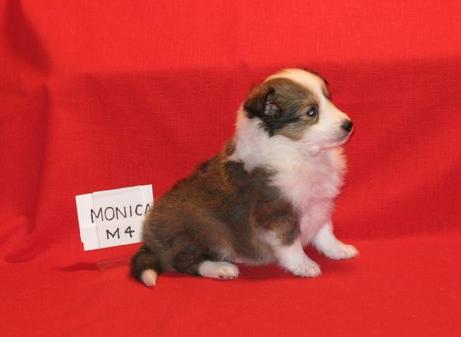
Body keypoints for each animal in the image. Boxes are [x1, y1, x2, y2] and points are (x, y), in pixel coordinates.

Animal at [131, 69, 358, 286]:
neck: (300, 151)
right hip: (203, 228)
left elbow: (325, 230)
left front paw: (338, 249)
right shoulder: (277, 213)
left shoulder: (319, 202)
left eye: (328, 98)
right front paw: (304, 265)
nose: (349, 124)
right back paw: (222, 268)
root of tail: (149, 240)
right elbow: (290, 242)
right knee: (184, 261)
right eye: (311, 111)